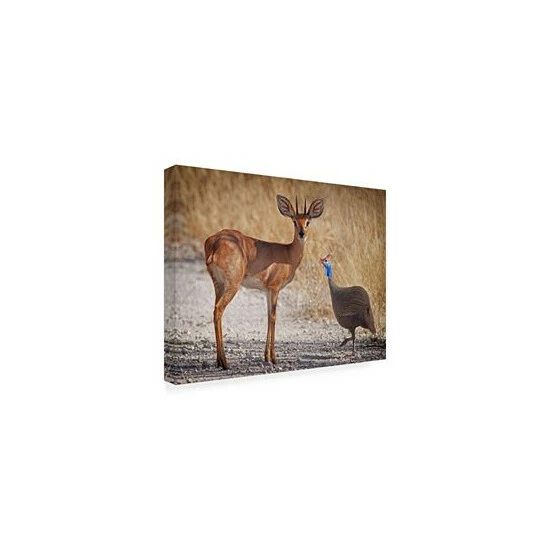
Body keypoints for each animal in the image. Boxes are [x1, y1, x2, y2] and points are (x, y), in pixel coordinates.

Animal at [204, 195, 324, 369]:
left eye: (308, 221)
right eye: (294, 221)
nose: (302, 233)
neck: (288, 255)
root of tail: (215, 243)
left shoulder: (267, 291)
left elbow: (268, 316)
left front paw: (266, 357)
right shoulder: (275, 288)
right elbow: (273, 317)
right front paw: (273, 358)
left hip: (218, 285)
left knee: (215, 310)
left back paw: (219, 361)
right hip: (232, 286)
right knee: (218, 310)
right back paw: (225, 362)